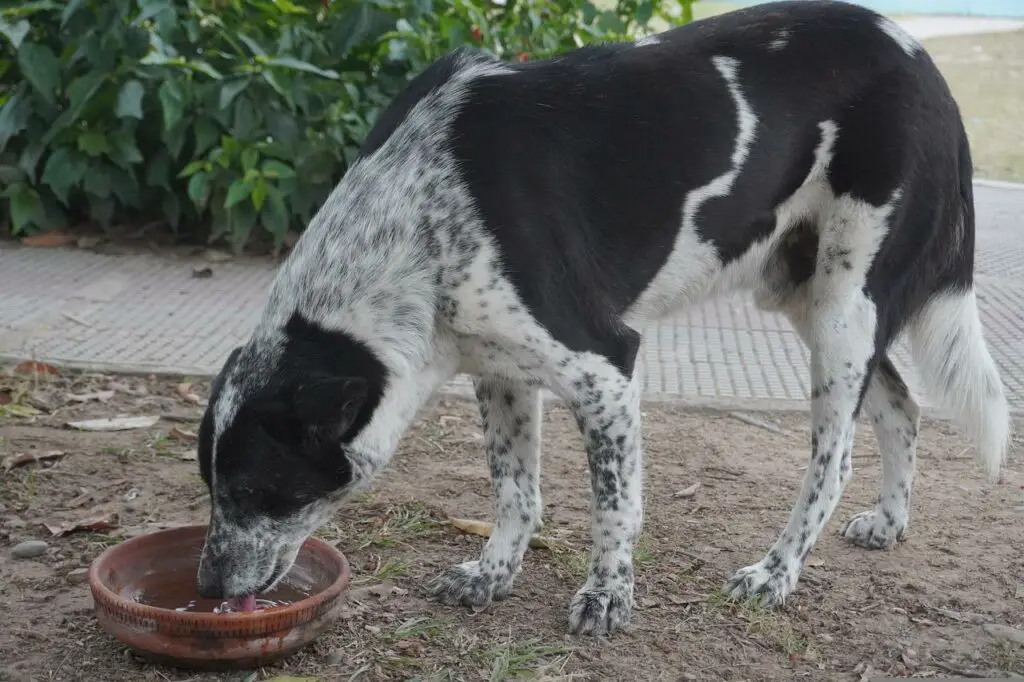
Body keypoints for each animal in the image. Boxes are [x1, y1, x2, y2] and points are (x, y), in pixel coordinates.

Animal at [193, 0, 1007, 634]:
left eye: (258, 492)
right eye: (211, 489)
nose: (207, 586)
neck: (407, 224)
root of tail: (925, 60)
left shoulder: (604, 367)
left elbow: (614, 504)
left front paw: (608, 595)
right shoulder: (498, 371)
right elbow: (515, 489)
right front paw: (494, 573)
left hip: (844, 308)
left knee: (832, 459)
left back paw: (777, 571)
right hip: (805, 295)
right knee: (901, 407)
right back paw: (890, 522)